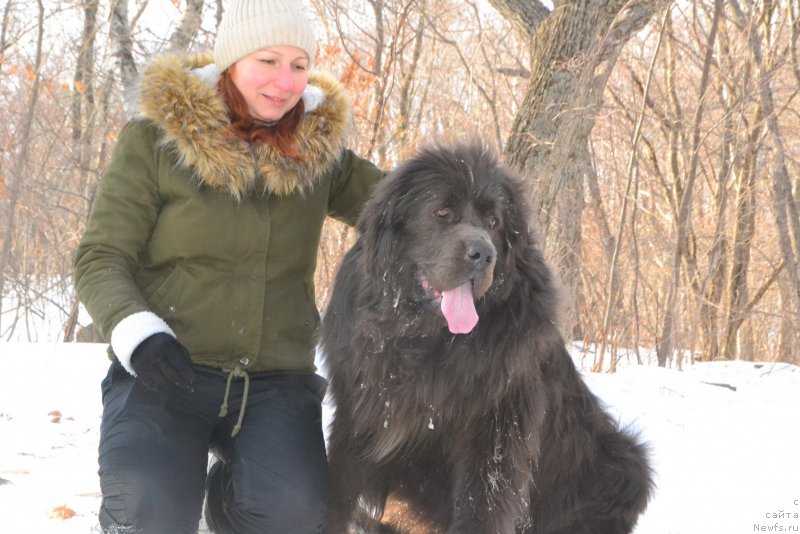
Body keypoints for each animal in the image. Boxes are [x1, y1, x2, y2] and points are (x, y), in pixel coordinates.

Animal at [322, 140, 652, 532]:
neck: (421, 340)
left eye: (494, 222)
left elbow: (481, 506)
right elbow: (336, 493)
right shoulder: (355, 417)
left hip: (622, 462)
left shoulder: (495, 437)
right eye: (443, 212)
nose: (483, 254)